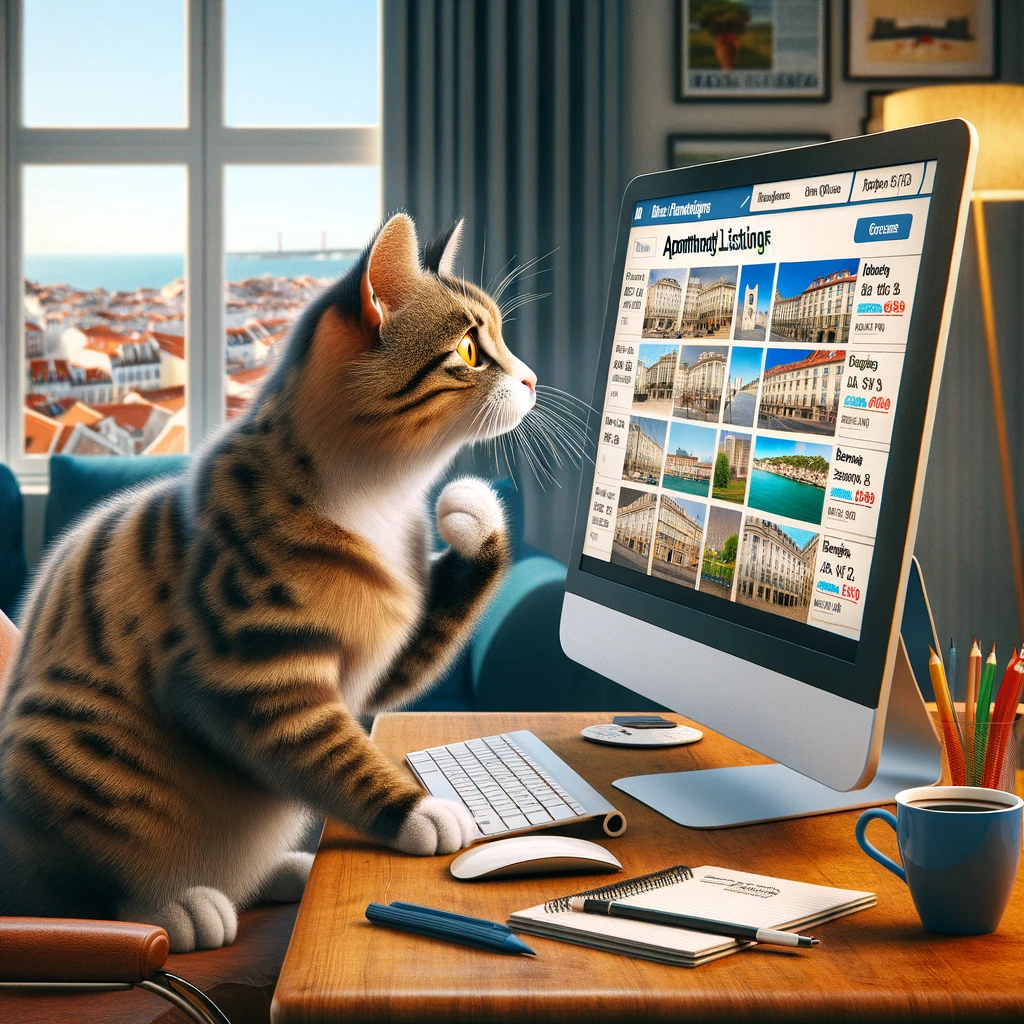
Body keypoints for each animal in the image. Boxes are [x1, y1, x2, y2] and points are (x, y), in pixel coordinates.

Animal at [0, 211, 536, 954]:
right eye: (468, 351)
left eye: (503, 340)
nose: (534, 379)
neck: (383, 500)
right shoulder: (261, 679)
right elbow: (338, 756)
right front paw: (418, 811)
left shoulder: (381, 665)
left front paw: (473, 514)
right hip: (69, 746)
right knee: (74, 889)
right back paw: (178, 909)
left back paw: (282, 871)